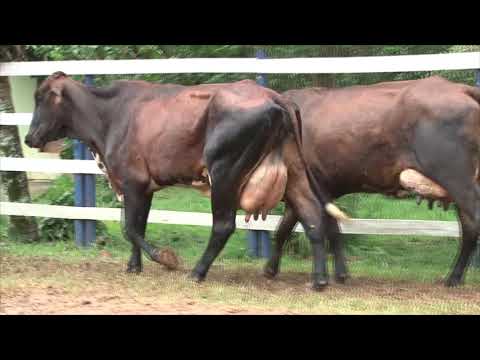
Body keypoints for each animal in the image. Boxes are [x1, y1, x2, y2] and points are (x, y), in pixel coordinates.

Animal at [25, 71, 344, 292]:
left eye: (42, 98)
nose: (29, 138)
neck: (109, 115)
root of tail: (274, 96)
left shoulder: (132, 182)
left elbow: (130, 228)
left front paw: (165, 258)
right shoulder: (143, 188)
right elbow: (136, 226)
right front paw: (133, 266)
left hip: (225, 172)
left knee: (223, 225)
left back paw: (197, 272)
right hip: (294, 175)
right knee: (313, 217)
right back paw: (318, 280)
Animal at [264, 76, 480, 286]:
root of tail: (459, 88)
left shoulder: (314, 184)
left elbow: (322, 228)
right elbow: (288, 228)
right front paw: (272, 269)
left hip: (457, 179)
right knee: (469, 229)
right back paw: (453, 278)